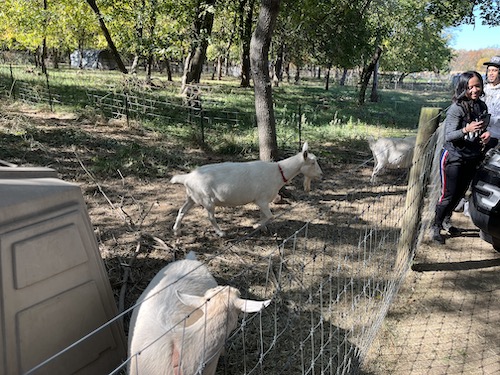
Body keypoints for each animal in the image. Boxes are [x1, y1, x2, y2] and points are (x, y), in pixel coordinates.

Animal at [170, 142, 322, 236]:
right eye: (313, 163)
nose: (321, 174)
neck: (278, 172)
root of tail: (187, 177)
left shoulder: (263, 201)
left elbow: (264, 215)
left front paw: (263, 229)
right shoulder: (261, 199)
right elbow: (270, 216)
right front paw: (256, 226)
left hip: (192, 197)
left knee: (182, 211)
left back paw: (176, 231)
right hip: (207, 199)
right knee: (211, 217)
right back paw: (221, 233)